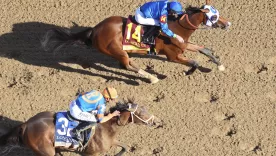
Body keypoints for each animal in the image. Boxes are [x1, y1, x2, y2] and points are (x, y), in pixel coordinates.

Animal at [0, 100, 162, 155]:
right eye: (142, 112)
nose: (159, 122)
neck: (106, 128)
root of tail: (25, 125)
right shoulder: (91, 154)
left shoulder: (112, 142)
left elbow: (125, 147)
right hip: (45, 151)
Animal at [41, 0, 231, 84]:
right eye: (214, 16)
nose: (228, 23)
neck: (177, 26)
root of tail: (94, 30)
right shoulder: (173, 55)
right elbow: (194, 62)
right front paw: (188, 72)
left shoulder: (183, 44)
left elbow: (204, 50)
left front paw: (220, 65)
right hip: (116, 50)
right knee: (127, 65)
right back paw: (152, 78)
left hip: (119, 51)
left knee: (125, 64)